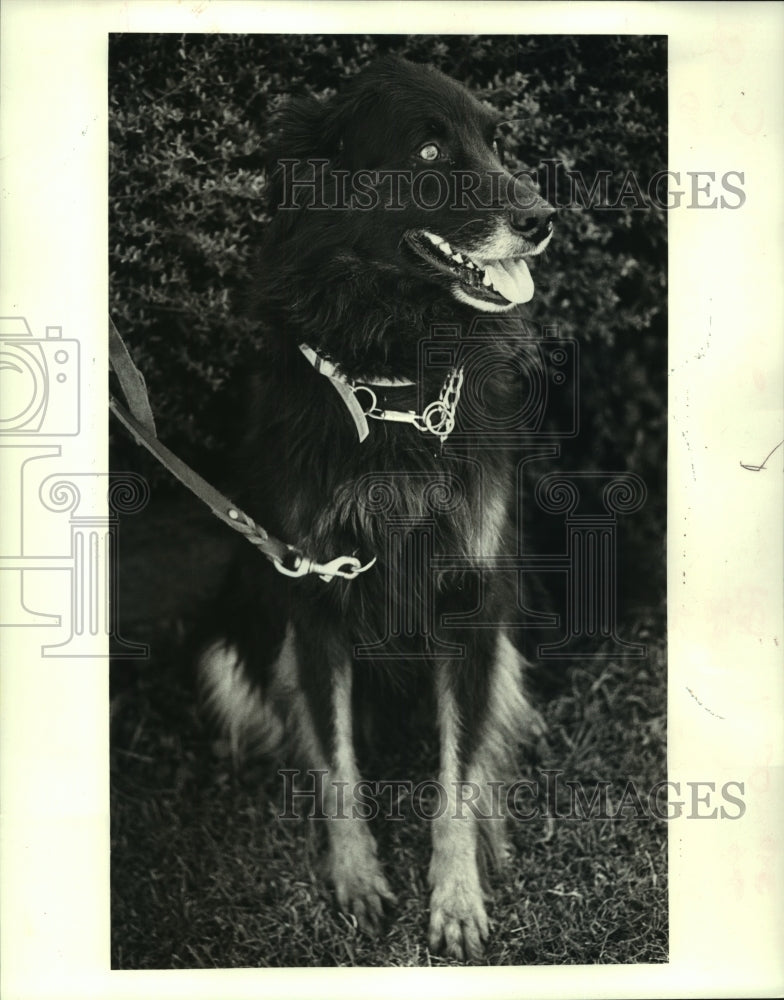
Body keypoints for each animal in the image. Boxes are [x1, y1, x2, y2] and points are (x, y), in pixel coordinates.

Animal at [199, 56, 556, 960]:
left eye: (494, 139)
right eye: (428, 152)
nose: (544, 220)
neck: (395, 382)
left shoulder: (471, 595)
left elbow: (457, 776)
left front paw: (457, 898)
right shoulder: (314, 593)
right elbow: (336, 761)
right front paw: (356, 876)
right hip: (234, 630)